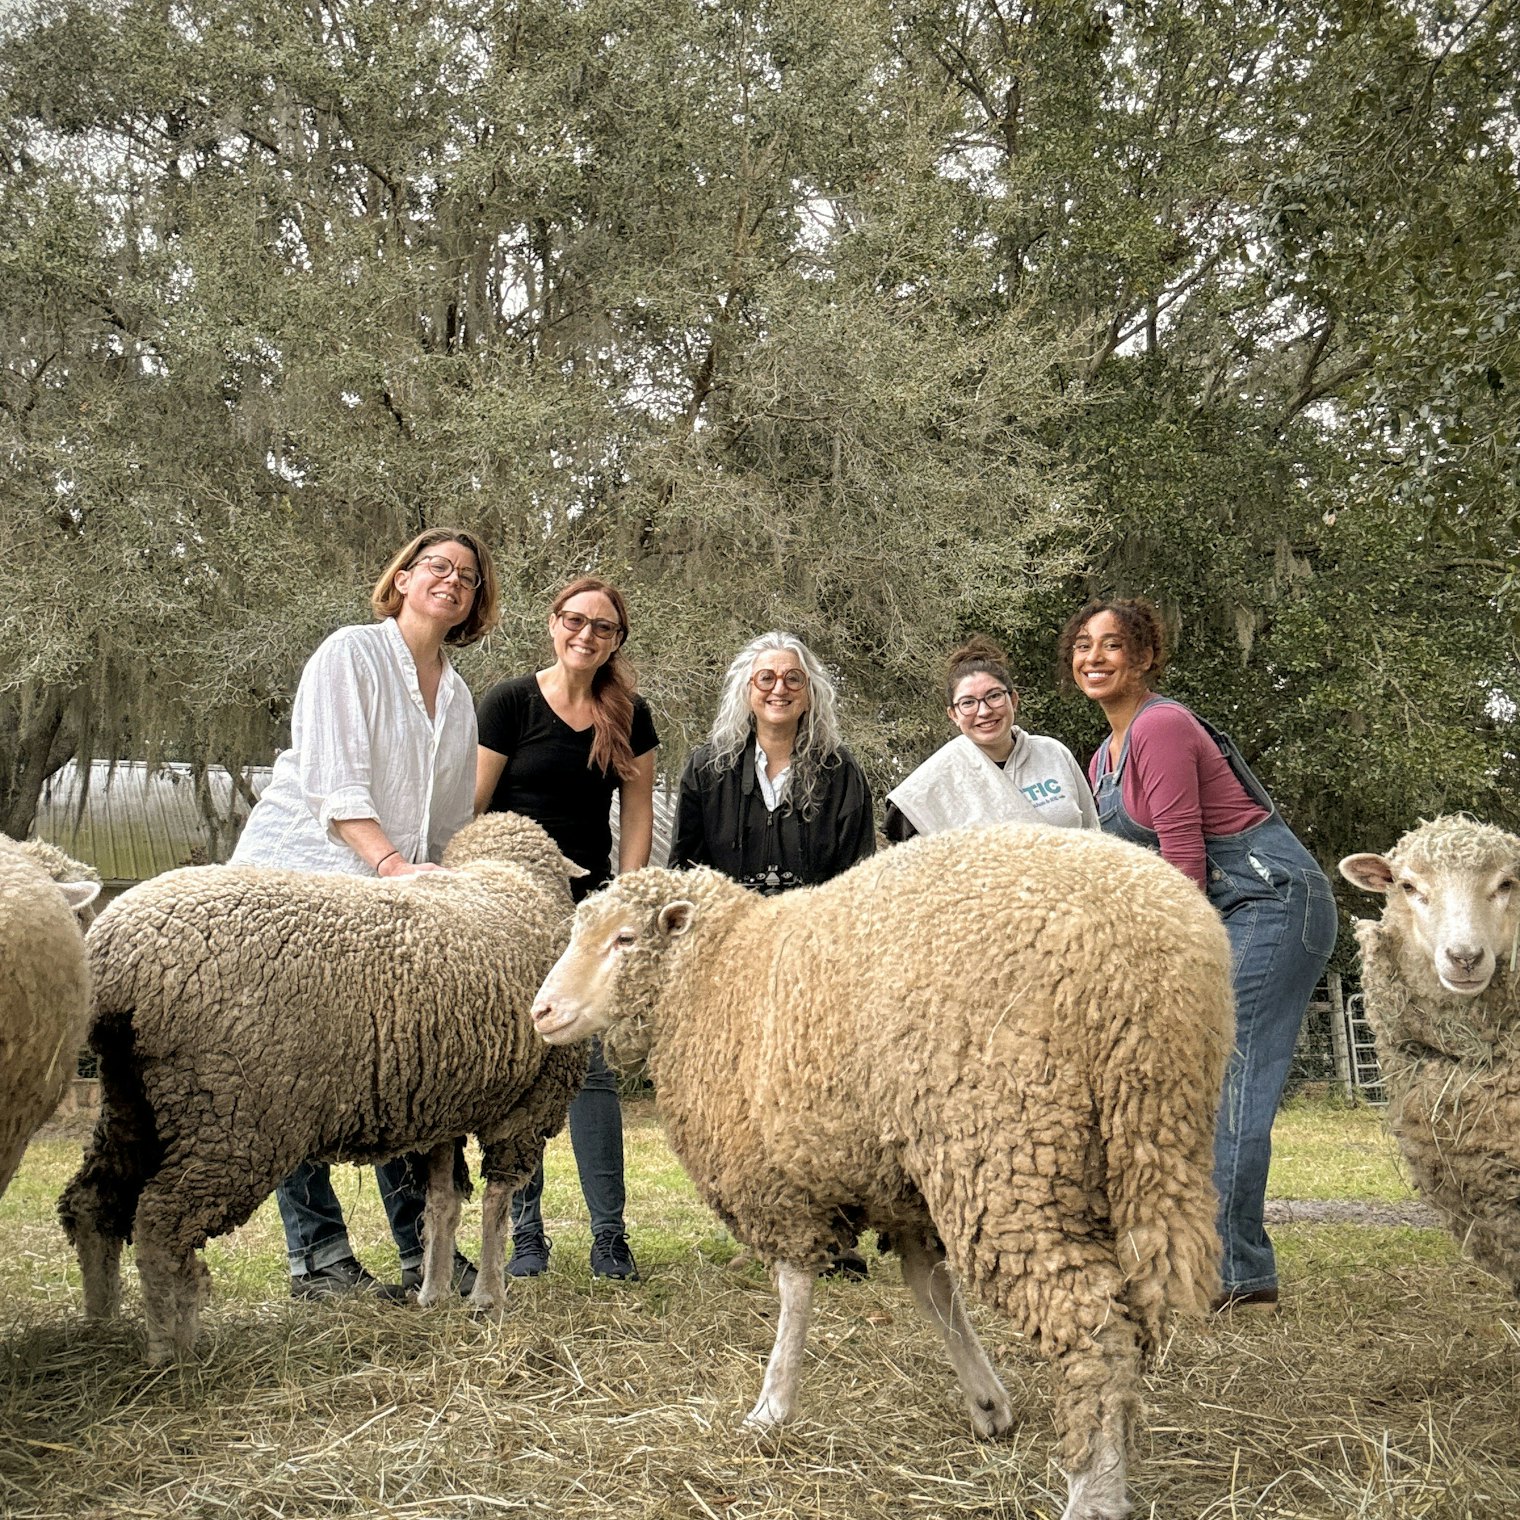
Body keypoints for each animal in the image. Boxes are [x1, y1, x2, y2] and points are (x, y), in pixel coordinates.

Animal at [58, 811, 588, 1363]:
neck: (512, 880)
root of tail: (116, 956)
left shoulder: (442, 1104)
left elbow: (442, 1203)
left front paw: (434, 1292)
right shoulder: (527, 1106)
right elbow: (495, 1205)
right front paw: (488, 1296)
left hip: (133, 1096)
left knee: (92, 1202)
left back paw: (101, 1323)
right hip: (236, 1114)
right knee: (160, 1222)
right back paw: (169, 1349)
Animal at [529, 823, 1235, 1520]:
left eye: (624, 940)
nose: (540, 1012)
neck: (718, 974)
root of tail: (1153, 960)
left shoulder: (776, 1182)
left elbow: (794, 1292)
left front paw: (772, 1406)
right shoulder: (899, 1182)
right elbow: (931, 1289)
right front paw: (987, 1402)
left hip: (1007, 1150)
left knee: (1092, 1330)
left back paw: (1093, 1492)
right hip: (1147, 1146)